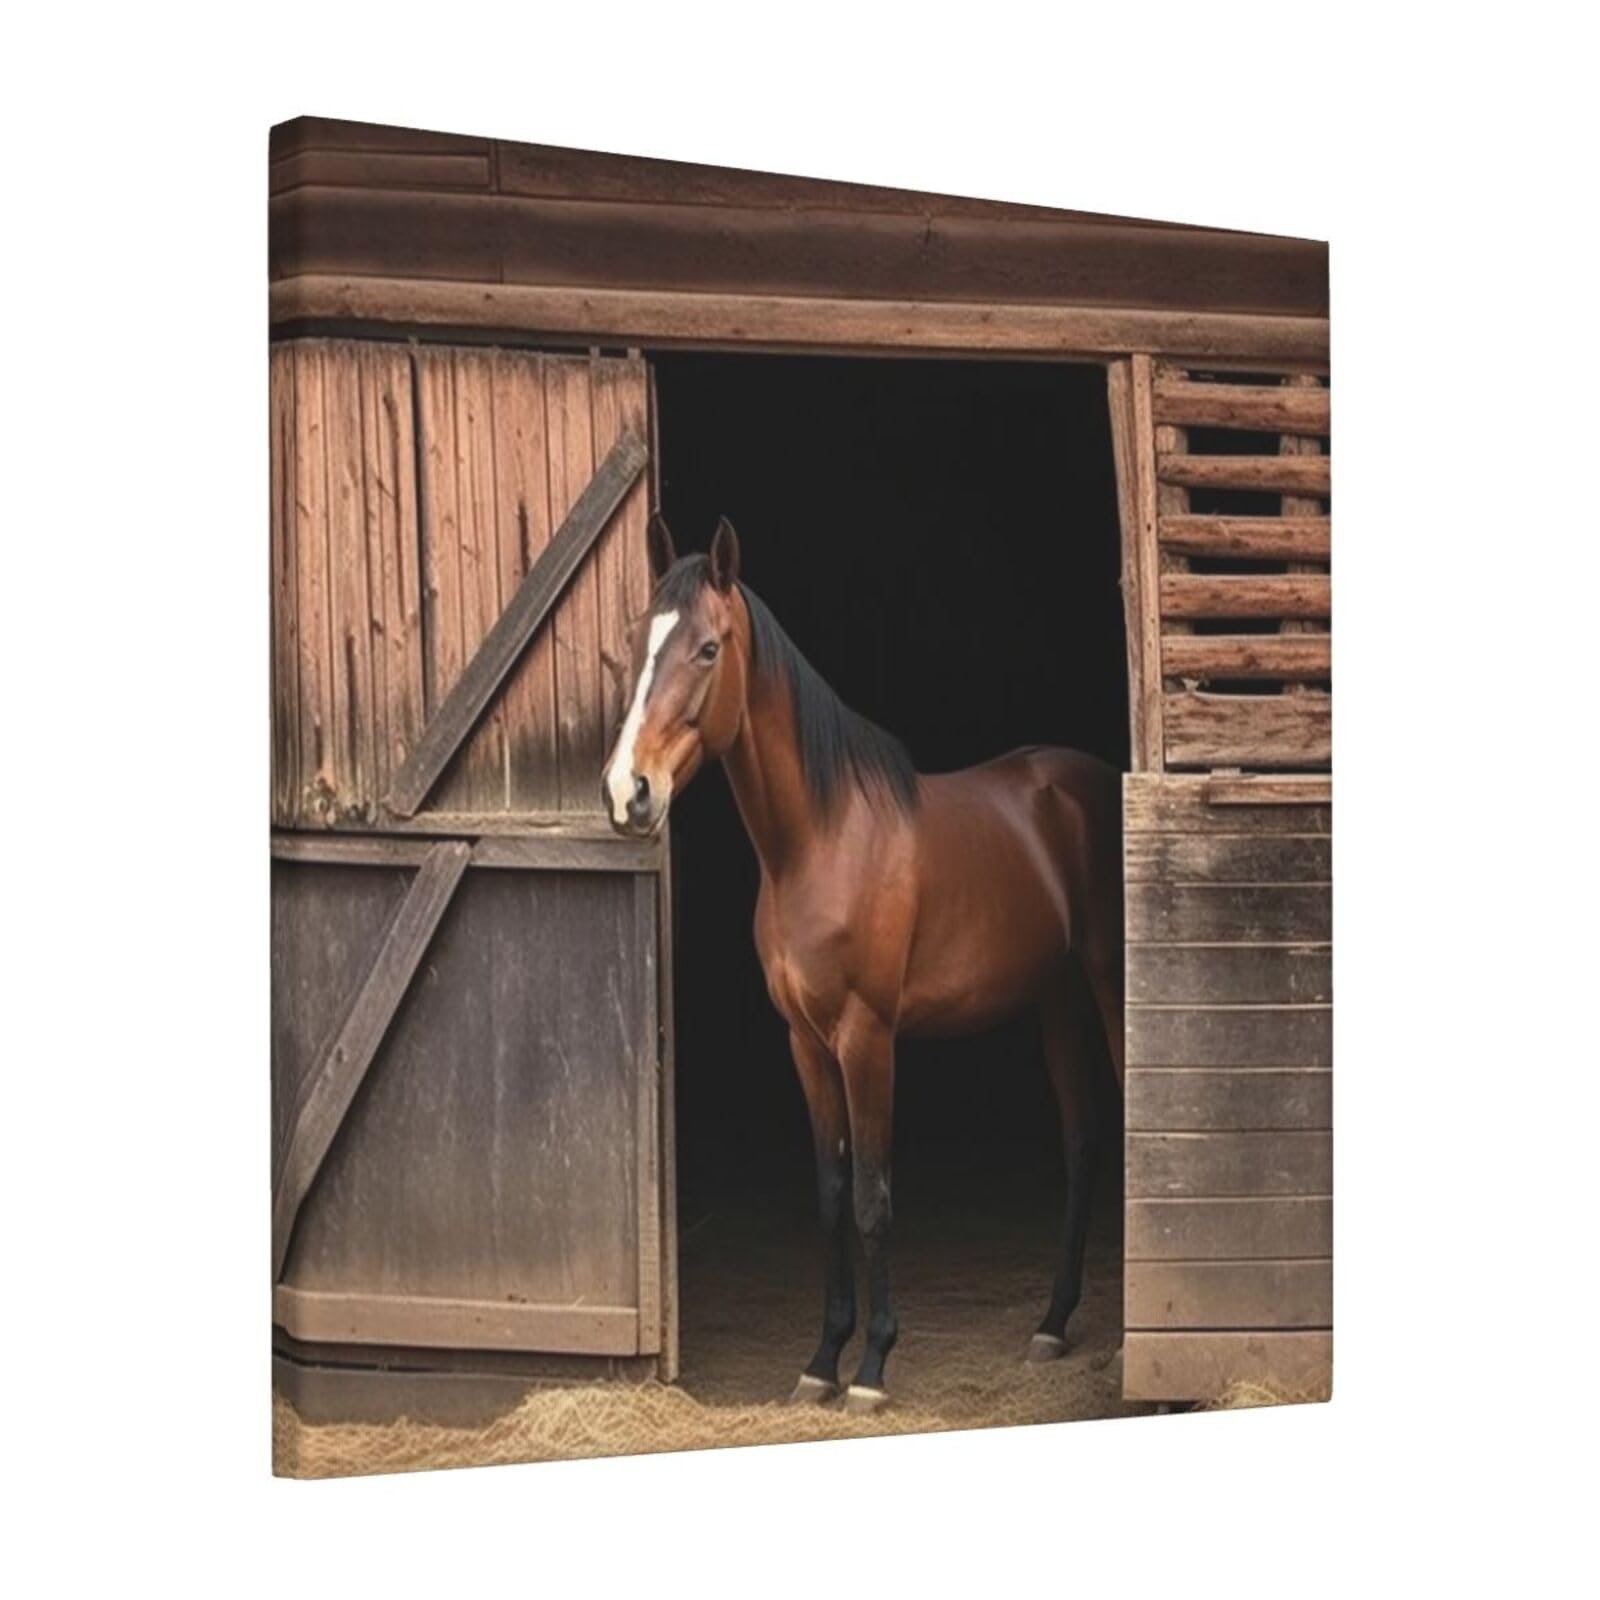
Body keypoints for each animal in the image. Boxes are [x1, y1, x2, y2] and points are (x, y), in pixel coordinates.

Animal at [602, 514, 1125, 1413]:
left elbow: (876, 1198)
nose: (627, 792)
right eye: (639, 640)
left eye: (706, 649)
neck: (822, 838)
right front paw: (822, 1359)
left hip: (1110, 983)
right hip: (1055, 995)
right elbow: (830, 1195)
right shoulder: (806, 1044)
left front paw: (874, 1368)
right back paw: (1054, 1322)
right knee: (1083, 1137)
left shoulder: (867, 1038)